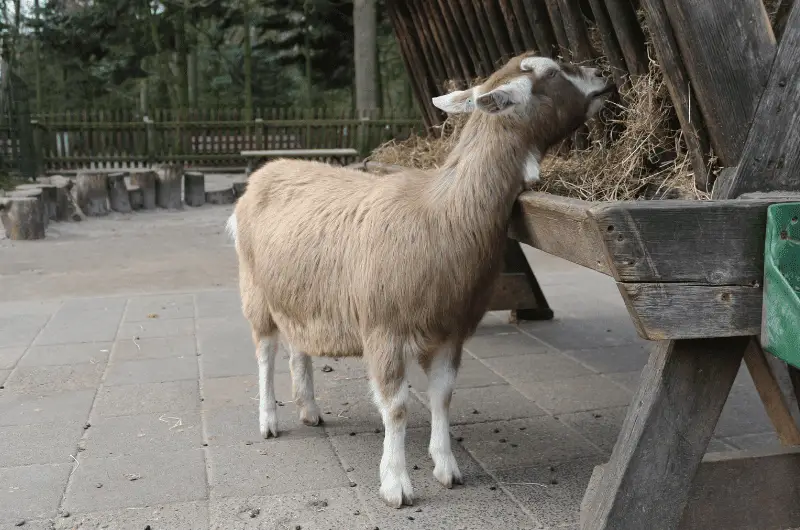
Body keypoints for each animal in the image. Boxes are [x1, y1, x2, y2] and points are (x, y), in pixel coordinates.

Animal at [227, 52, 615, 508]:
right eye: (551, 72)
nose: (602, 76)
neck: (440, 211)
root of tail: (264, 172)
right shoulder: (383, 329)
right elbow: (396, 407)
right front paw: (396, 484)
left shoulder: (451, 330)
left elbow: (442, 397)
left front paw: (447, 467)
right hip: (254, 290)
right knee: (265, 352)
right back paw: (269, 420)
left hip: (297, 296)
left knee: (298, 348)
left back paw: (308, 410)